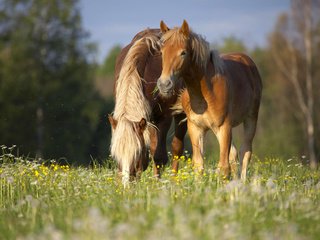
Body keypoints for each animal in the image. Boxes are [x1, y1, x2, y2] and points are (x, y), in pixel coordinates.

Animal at [108, 28, 188, 186]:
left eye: (136, 153)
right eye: (115, 155)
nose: (126, 185)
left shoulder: (163, 118)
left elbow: (159, 156)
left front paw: (157, 184)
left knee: (177, 149)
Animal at [156, 20, 262, 179]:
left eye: (183, 52)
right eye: (162, 52)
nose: (164, 84)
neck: (204, 94)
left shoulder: (224, 127)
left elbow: (224, 167)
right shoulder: (196, 128)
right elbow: (199, 165)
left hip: (250, 119)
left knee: (245, 152)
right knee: (234, 154)